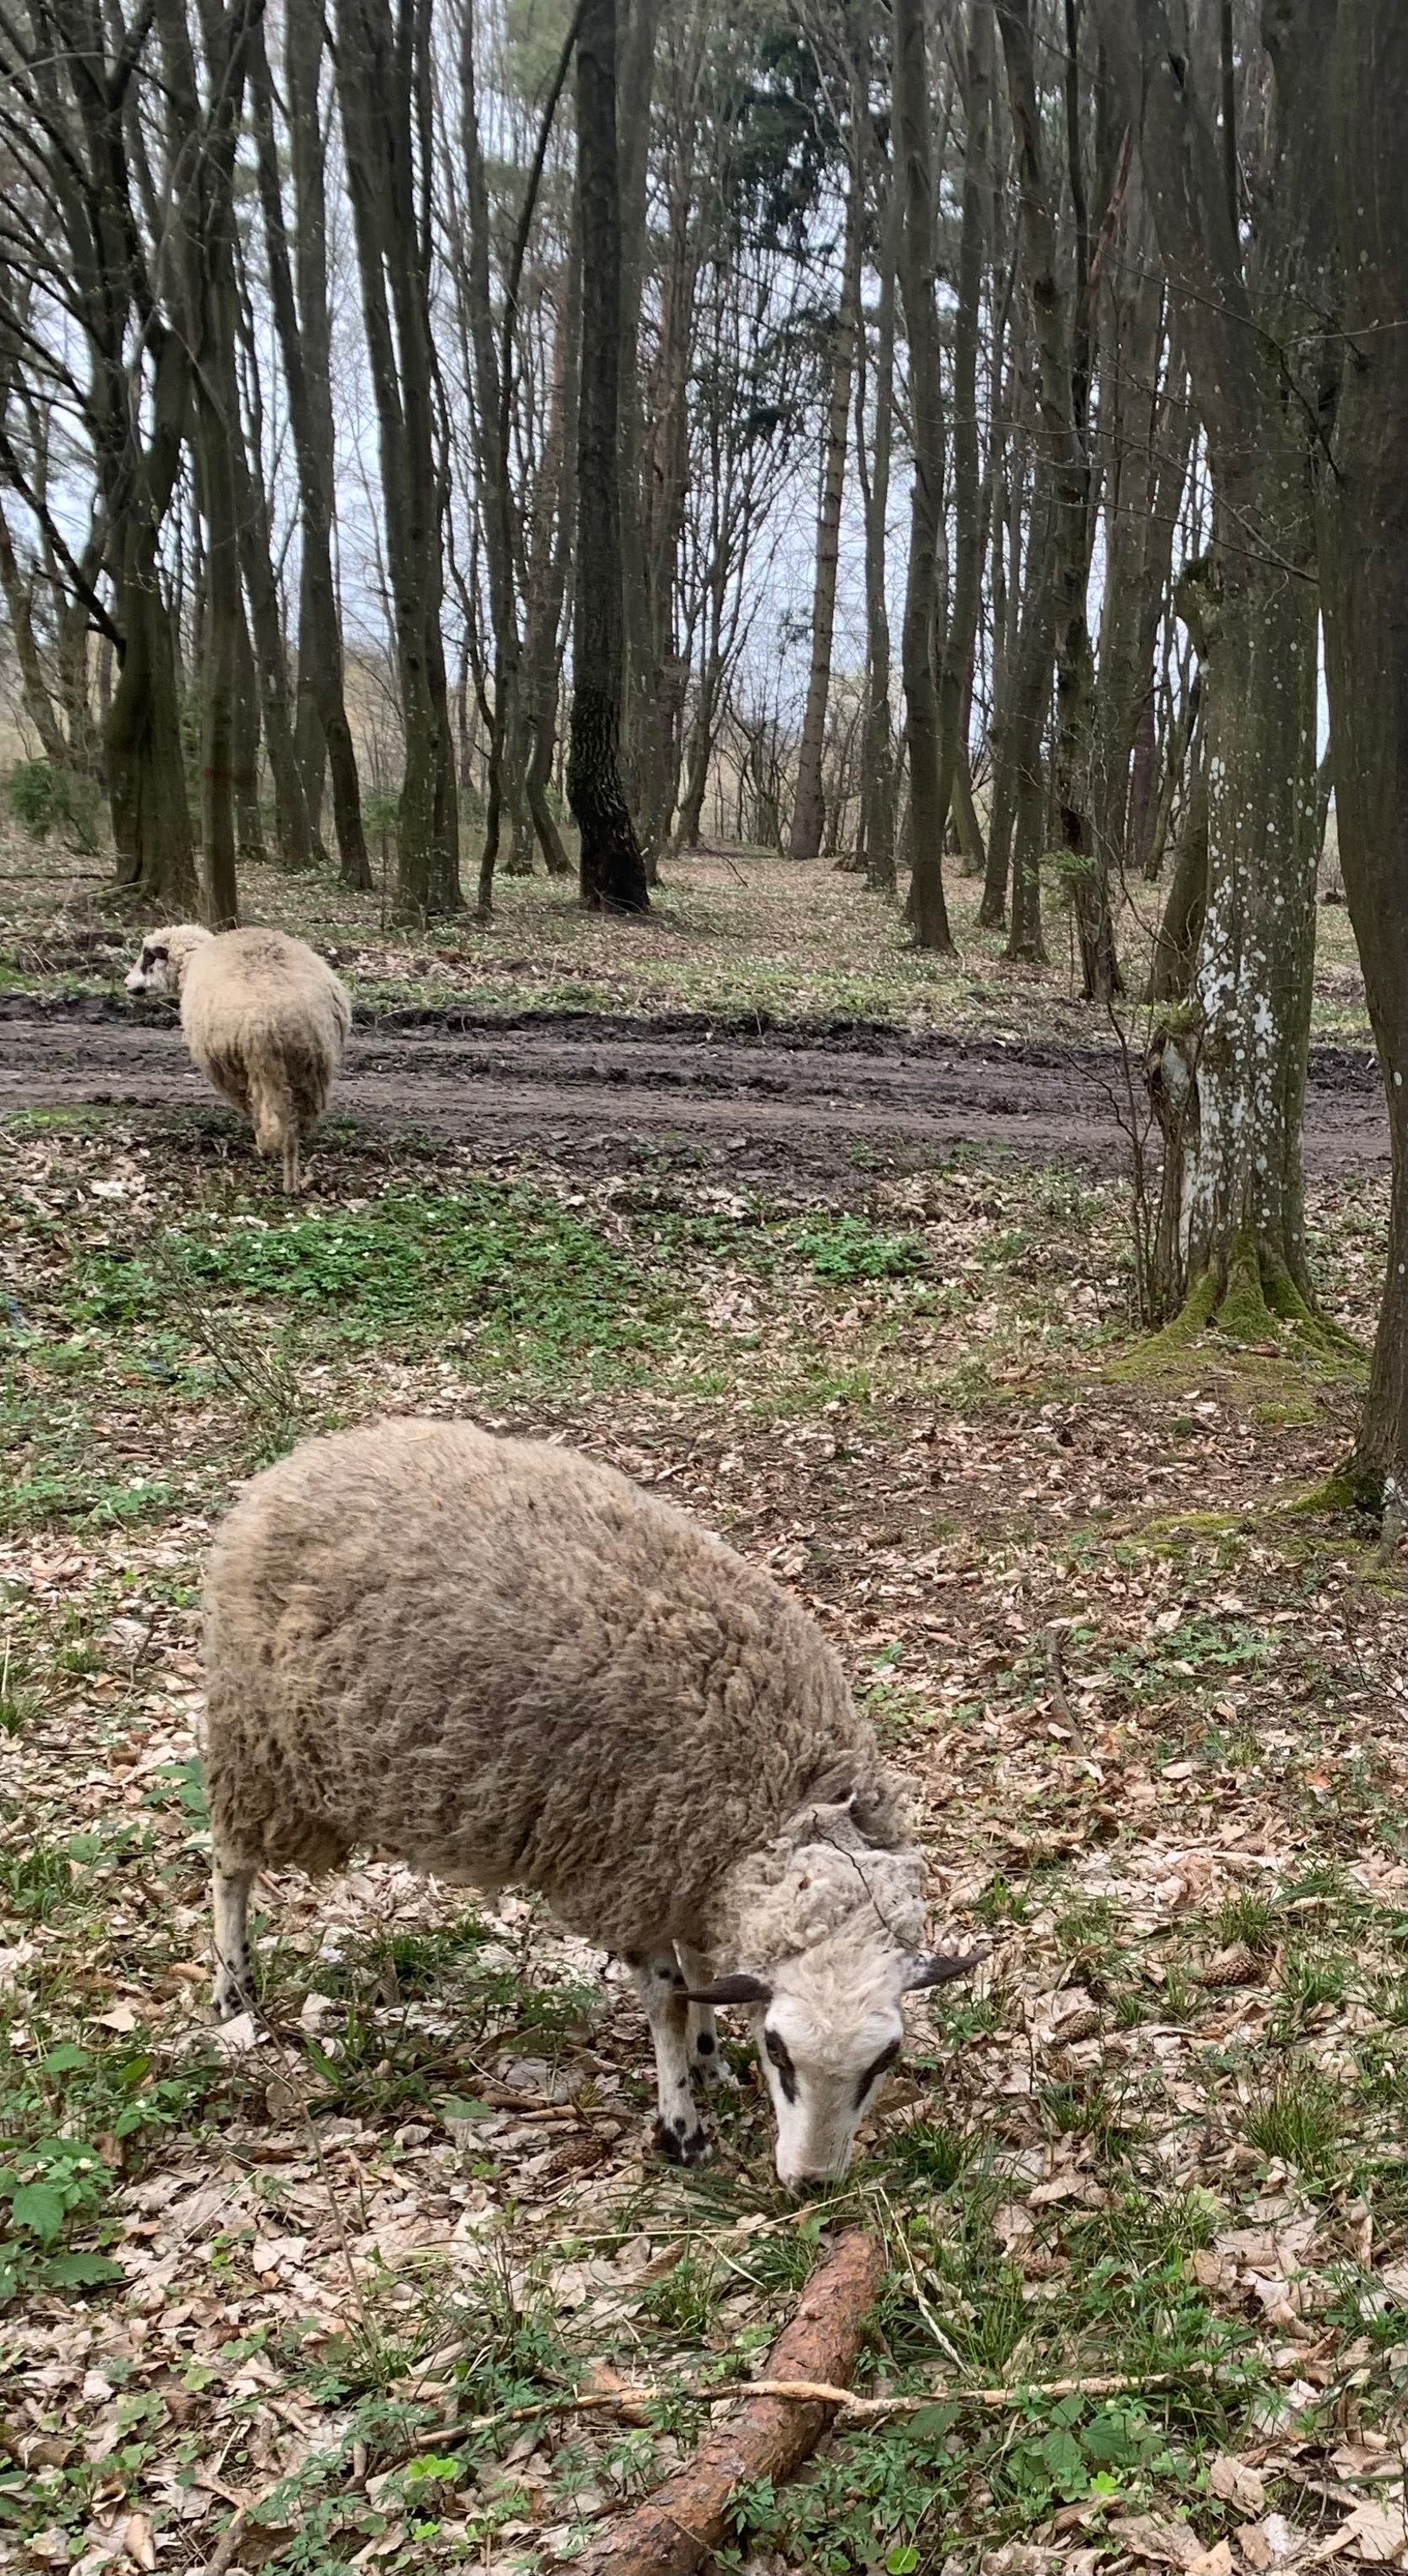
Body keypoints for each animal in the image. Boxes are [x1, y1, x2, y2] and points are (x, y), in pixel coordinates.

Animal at [124, 927, 353, 1195]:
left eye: (148, 957)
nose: (126, 983)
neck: (191, 961)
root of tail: (273, 1019)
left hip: (252, 1067)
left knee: (268, 1115)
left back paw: (269, 1154)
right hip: (311, 1066)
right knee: (295, 1124)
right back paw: (292, 1178)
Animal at [203, 1421, 988, 2184]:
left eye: (885, 2059)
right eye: (778, 2051)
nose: (812, 2184)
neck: (776, 1784)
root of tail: (306, 1458)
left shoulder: (689, 1869)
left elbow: (703, 1974)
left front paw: (709, 2060)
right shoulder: (632, 1871)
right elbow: (667, 2001)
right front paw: (682, 2126)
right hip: (254, 1741)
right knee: (230, 1866)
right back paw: (235, 1992)